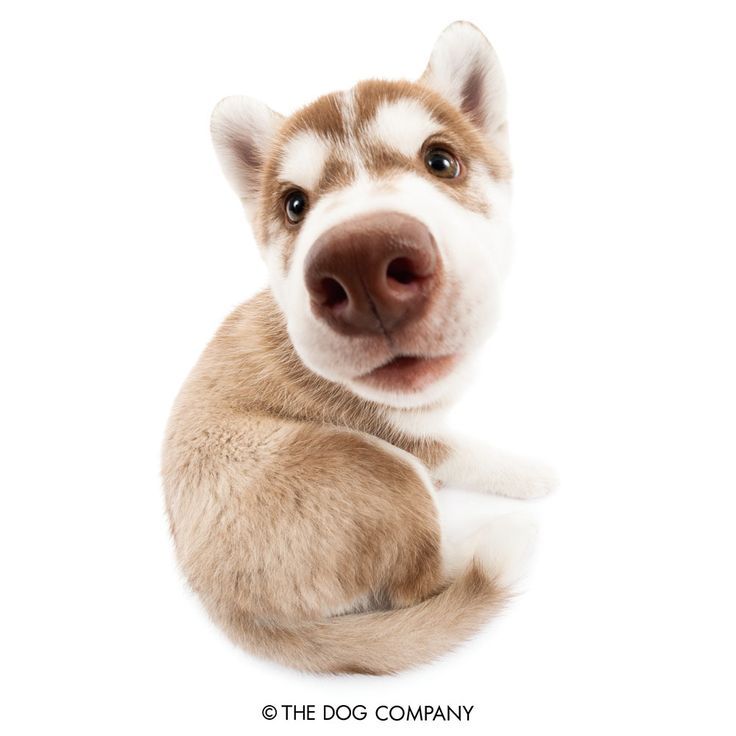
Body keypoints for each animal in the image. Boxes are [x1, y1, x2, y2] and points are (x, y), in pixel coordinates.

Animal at [164, 20, 556, 676]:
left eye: (441, 161)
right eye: (295, 204)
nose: (362, 263)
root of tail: (224, 606)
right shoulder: (408, 436)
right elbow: (472, 451)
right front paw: (531, 473)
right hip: (382, 470)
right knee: (417, 583)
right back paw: (486, 543)